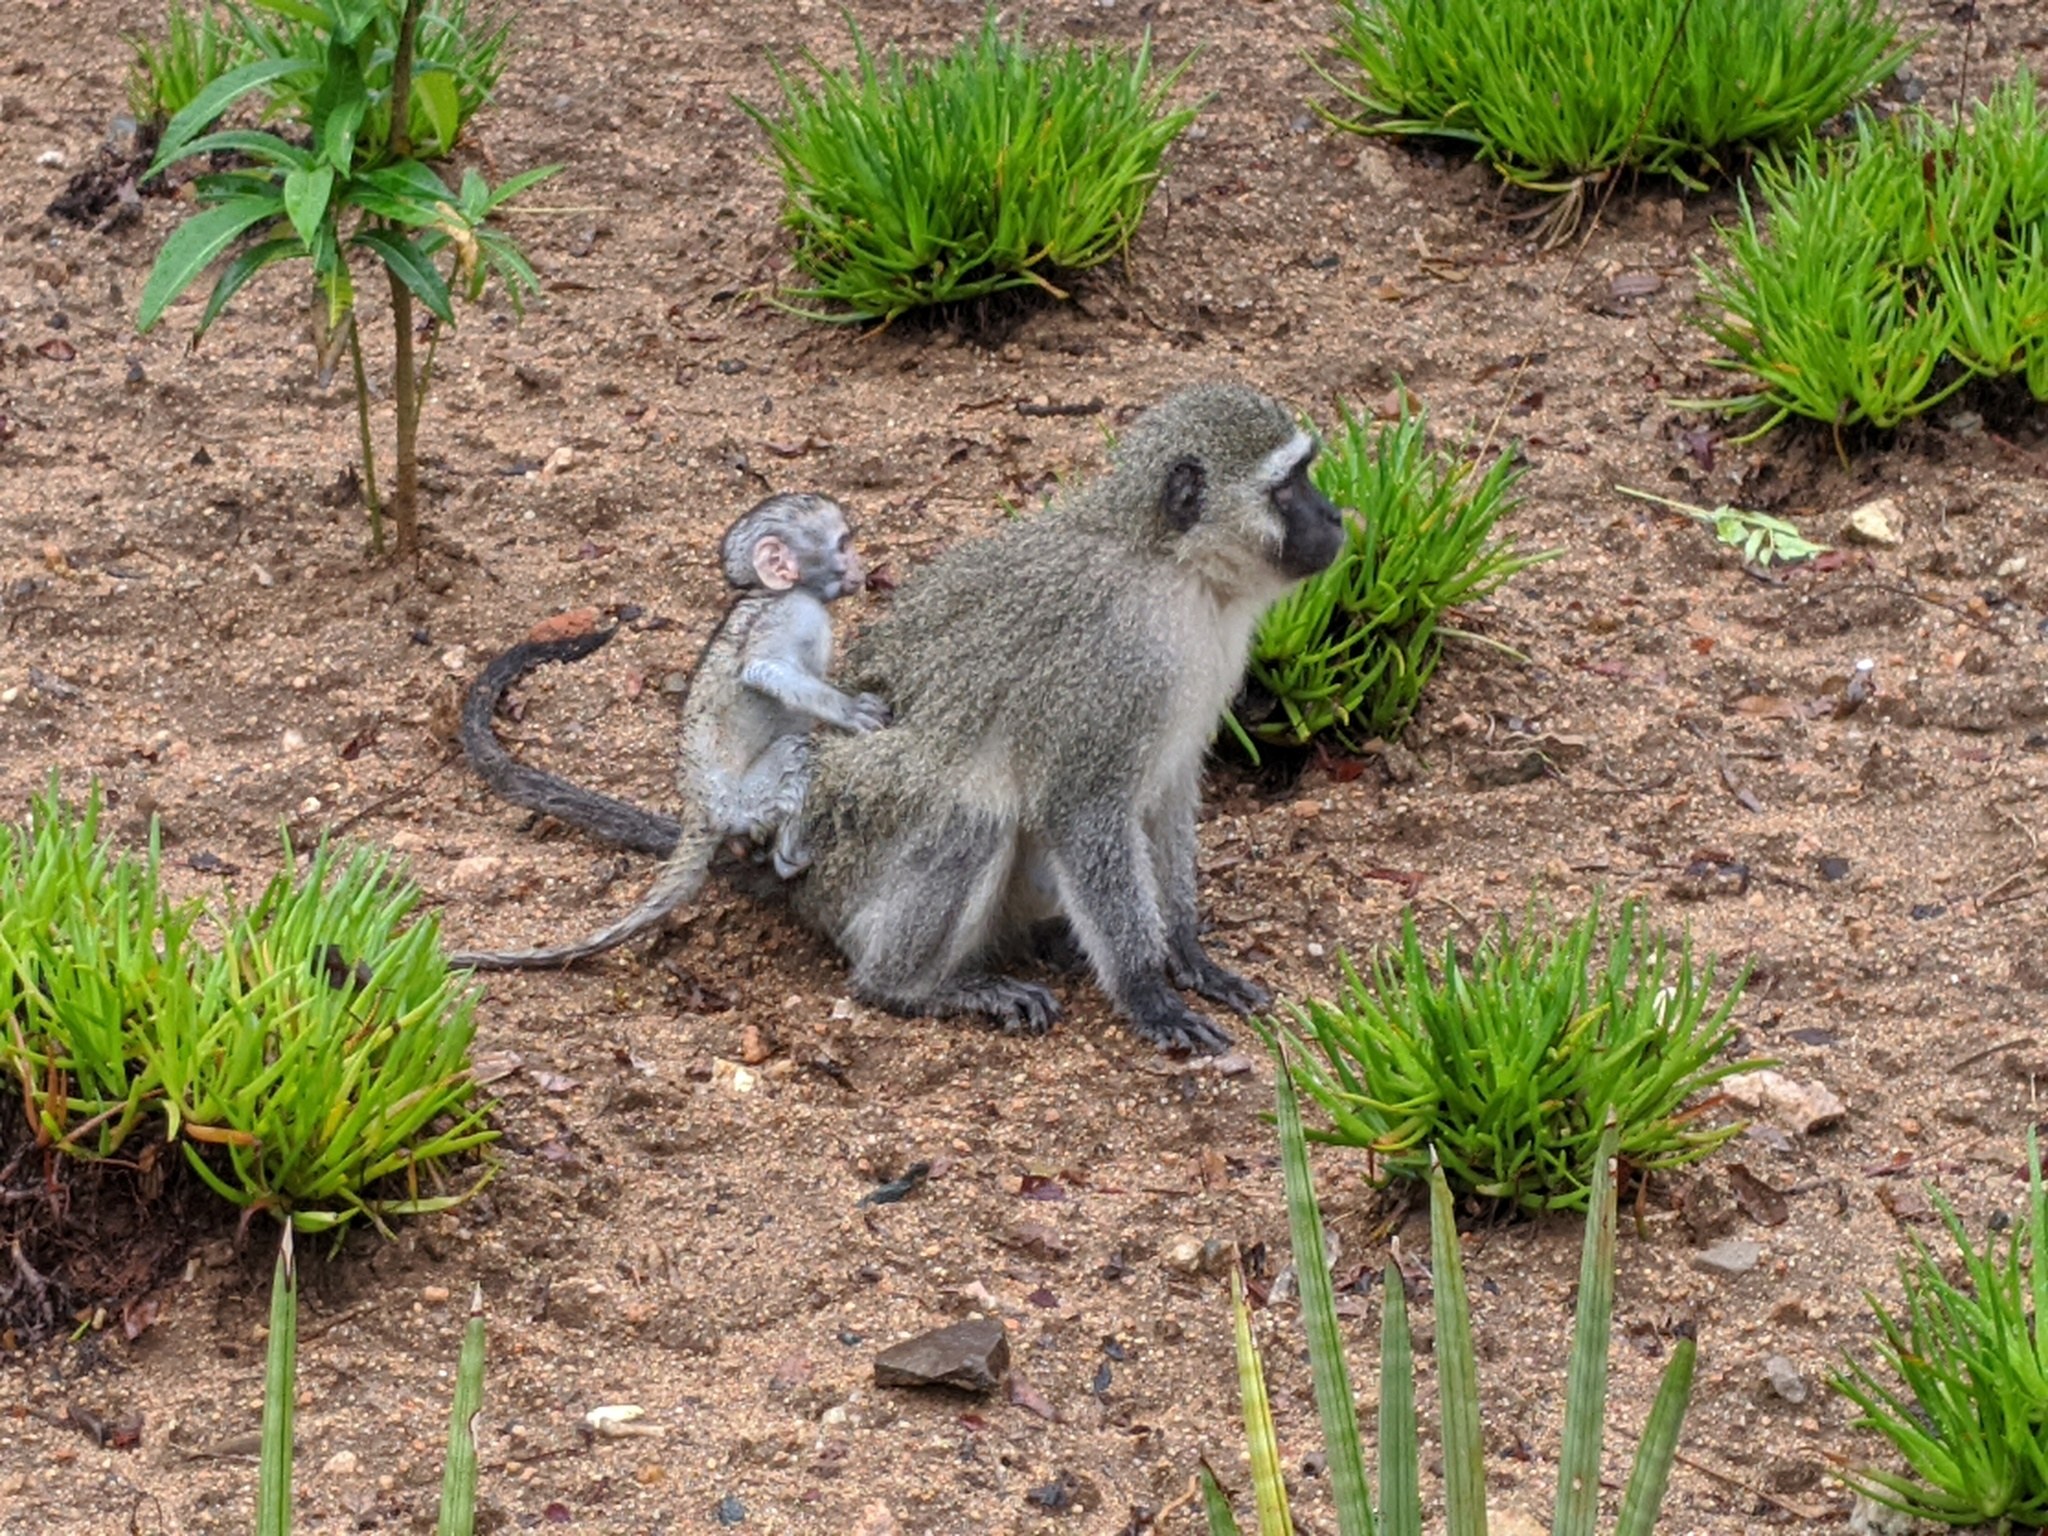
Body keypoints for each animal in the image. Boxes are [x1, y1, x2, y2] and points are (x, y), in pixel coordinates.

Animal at [449, 492, 888, 971]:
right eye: (843, 544)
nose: (861, 566)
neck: (775, 591)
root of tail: (700, 809)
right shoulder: (792, 613)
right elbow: (765, 670)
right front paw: (850, 711)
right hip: (745, 801)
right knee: (797, 750)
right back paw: (789, 855)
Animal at [785, 381, 1346, 1054]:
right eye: (1287, 488)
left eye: (1305, 474)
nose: (1337, 517)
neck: (1177, 569)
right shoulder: (1114, 662)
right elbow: (1081, 810)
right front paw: (1146, 991)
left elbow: (1169, 796)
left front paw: (1187, 951)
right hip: (846, 851)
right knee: (971, 812)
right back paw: (909, 986)